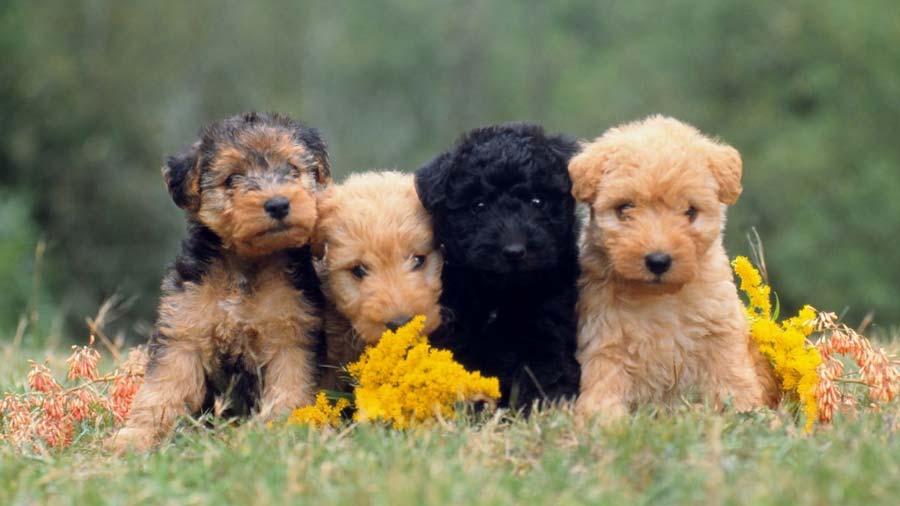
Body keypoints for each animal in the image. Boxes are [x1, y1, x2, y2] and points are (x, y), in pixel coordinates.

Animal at [111, 111, 330, 450]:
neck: (246, 266)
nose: (278, 204)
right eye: (231, 178)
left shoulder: (291, 337)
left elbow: (288, 391)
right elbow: (162, 390)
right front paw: (137, 436)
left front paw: (281, 433)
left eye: (293, 169)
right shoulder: (184, 333)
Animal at [416, 122, 584, 412]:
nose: (514, 251)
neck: (502, 294)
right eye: (478, 206)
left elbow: (545, 374)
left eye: (537, 202)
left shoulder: (546, 332)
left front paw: (544, 409)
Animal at [568, 116, 780, 422]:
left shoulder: (721, 331)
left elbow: (732, 378)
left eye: (690, 211)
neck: (660, 299)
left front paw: (751, 416)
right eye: (625, 208)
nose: (658, 261)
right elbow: (603, 388)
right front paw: (605, 422)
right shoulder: (605, 341)